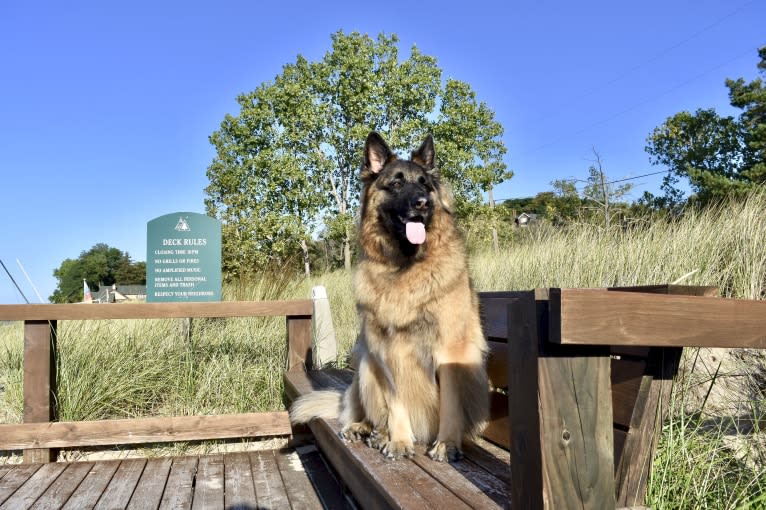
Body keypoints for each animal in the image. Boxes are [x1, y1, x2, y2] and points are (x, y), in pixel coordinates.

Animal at [292, 131, 488, 462]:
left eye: (424, 184)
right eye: (396, 184)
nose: (423, 203)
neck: (403, 267)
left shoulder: (451, 350)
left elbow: (450, 403)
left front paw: (446, 444)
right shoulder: (384, 351)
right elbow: (395, 403)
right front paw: (399, 440)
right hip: (364, 365)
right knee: (364, 410)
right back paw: (370, 430)